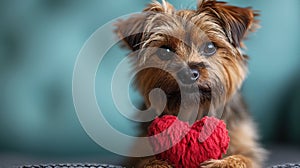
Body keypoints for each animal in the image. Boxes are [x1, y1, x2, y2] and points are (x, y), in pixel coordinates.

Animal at [115, 0, 268, 167]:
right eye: (165, 51)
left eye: (210, 47)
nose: (188, 73)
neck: (195, 109)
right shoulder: (137, 151)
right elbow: (146, 160)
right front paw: (158, 163)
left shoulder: (245, 145)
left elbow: (243, 157)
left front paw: (223, 163)